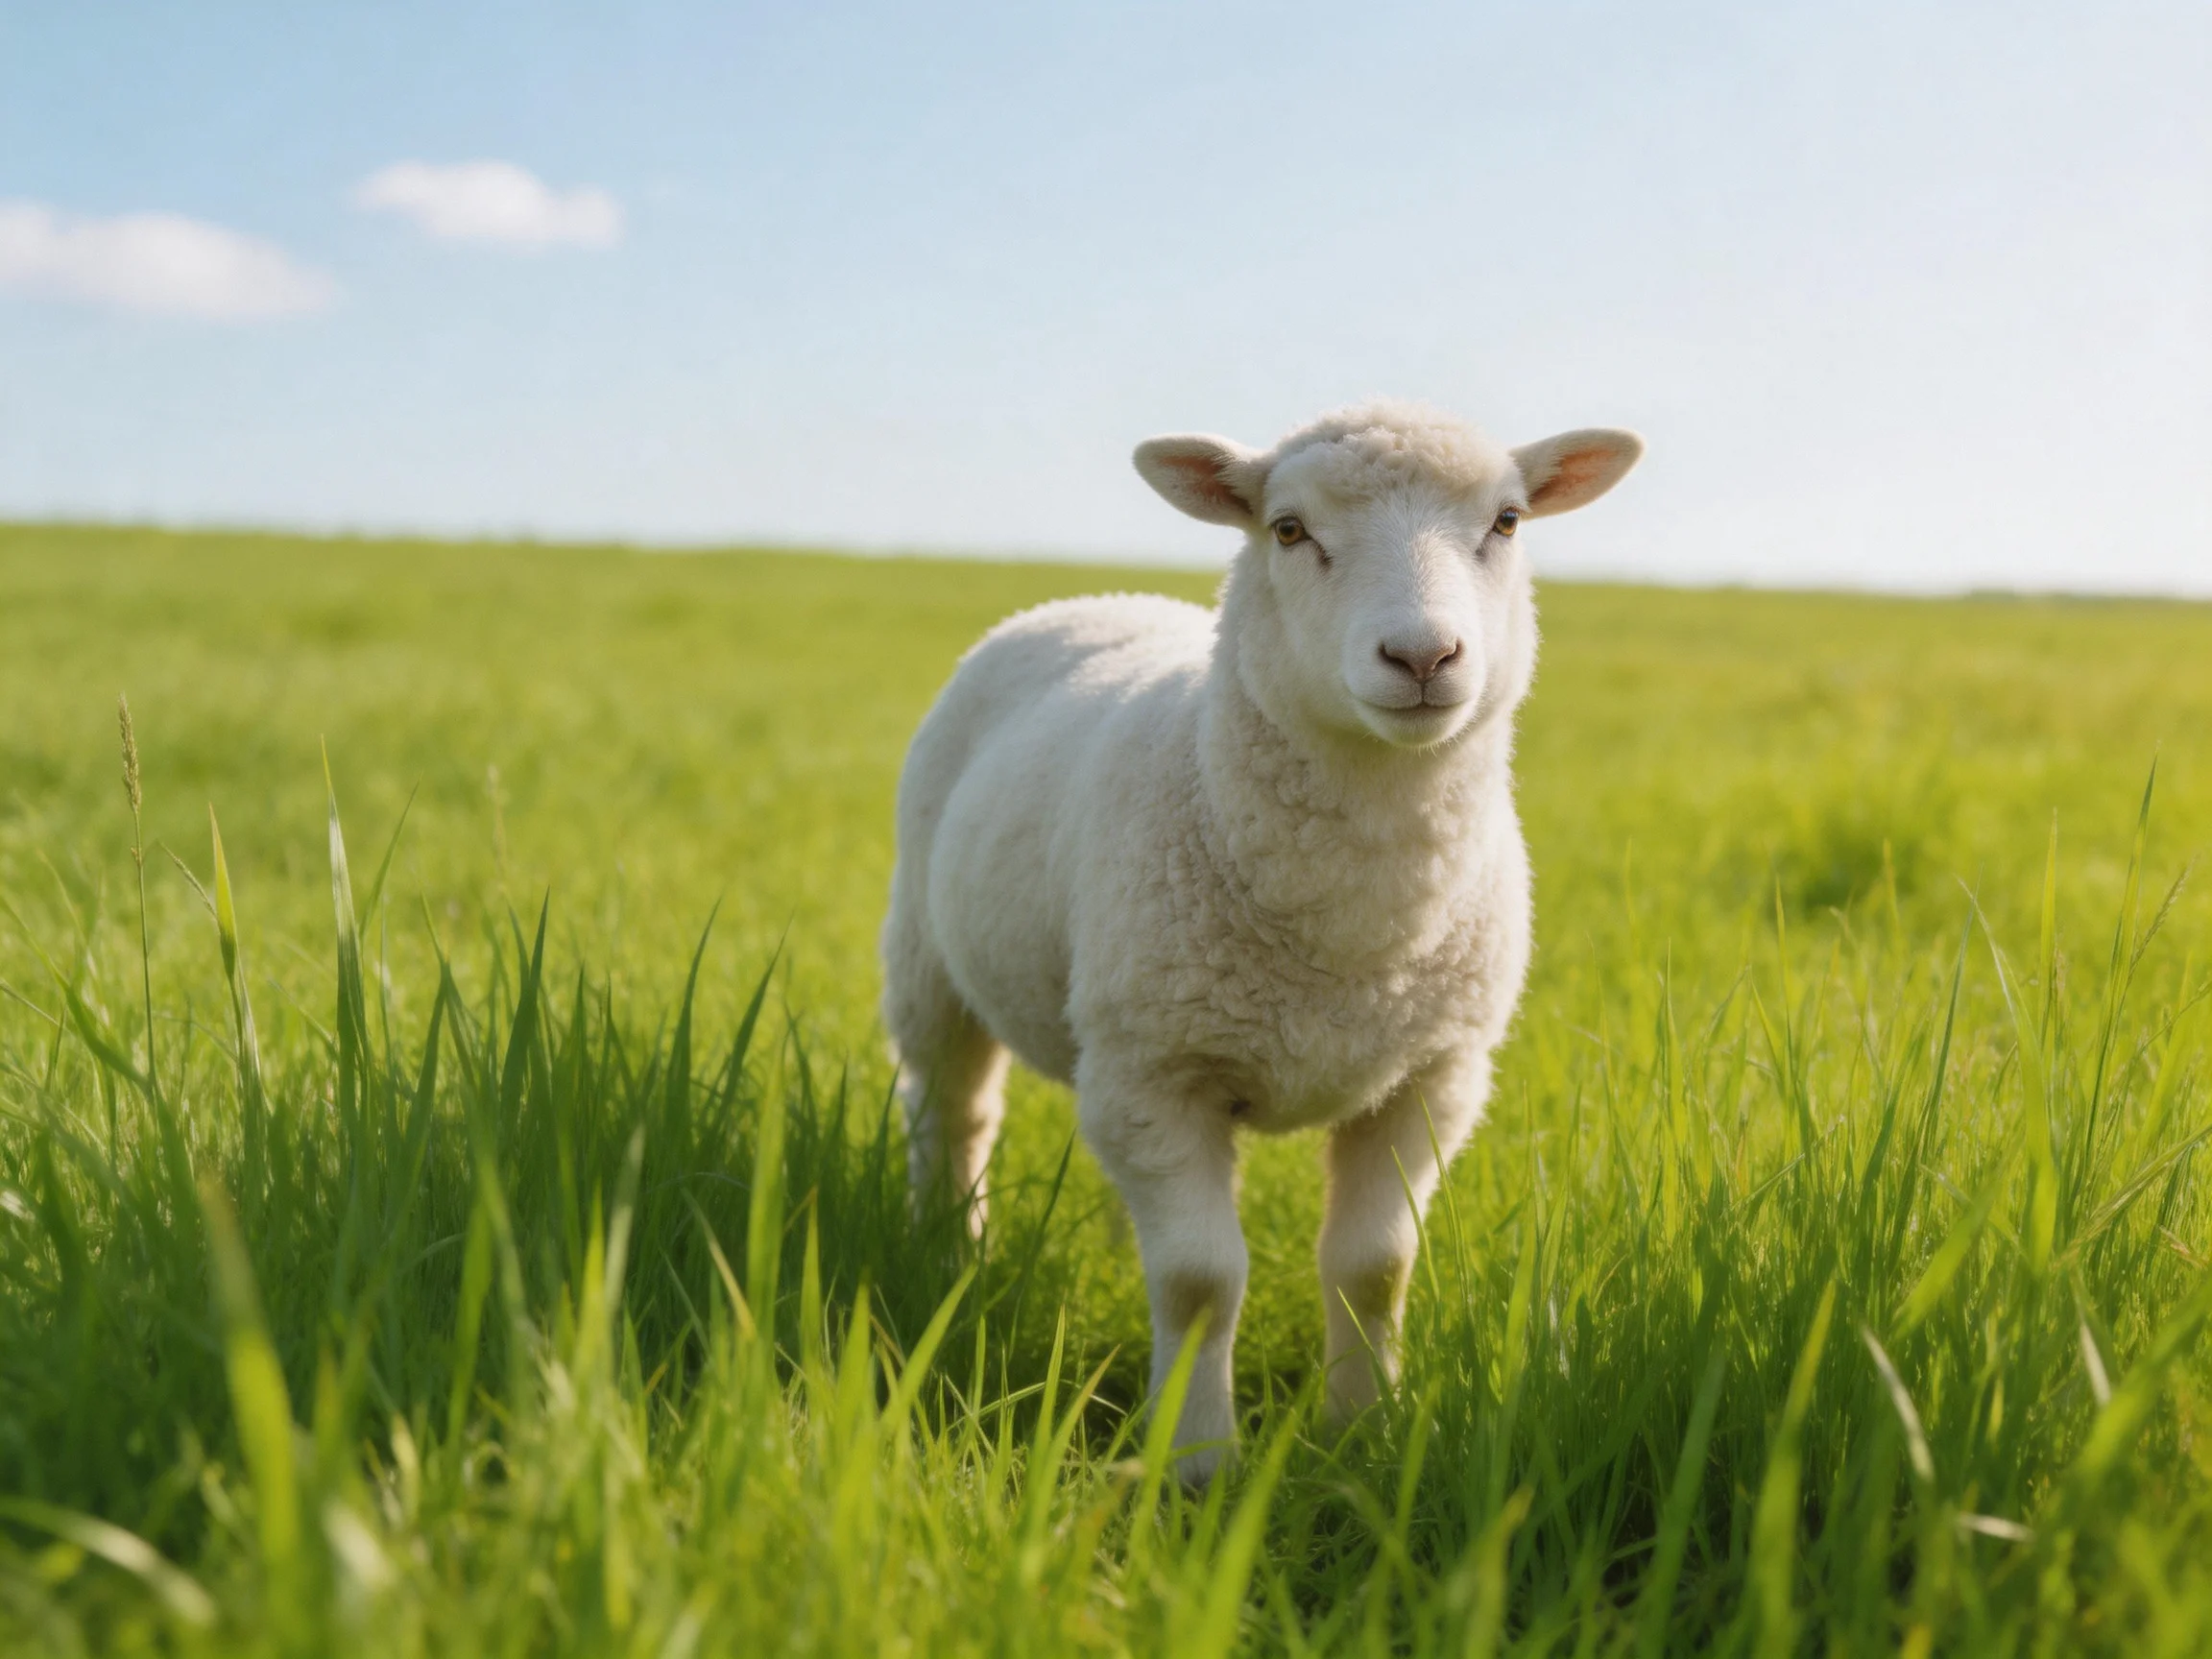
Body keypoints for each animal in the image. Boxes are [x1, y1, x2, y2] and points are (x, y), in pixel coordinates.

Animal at [881, 399, 1642, 1476]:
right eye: (1288, 529)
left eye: (1507, 522)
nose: (1422, 659)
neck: (1356, 934)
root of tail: (1092, 596)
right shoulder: (1157, 1073)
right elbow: (1201, 1282)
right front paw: (1196, 1460)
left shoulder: (1433, 1077)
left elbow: (1374, 1268)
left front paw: (1364, 1431)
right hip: (926, 957)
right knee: (951, 1111)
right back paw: (951, 1258)